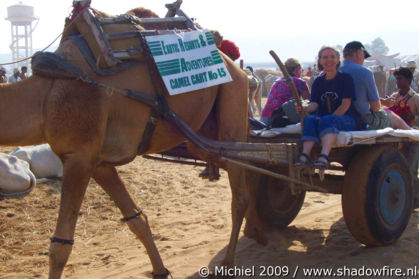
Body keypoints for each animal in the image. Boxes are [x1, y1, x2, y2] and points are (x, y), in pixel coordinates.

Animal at [0, 11, 254, 279]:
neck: (44, 95)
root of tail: (236, 68)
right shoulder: (98, 162)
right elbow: (135, 220)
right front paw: (160, 270)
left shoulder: (79, 156)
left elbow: (60, 246)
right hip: (202, 132)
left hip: (233, 99)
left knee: (240, 192)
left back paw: (228, 262)